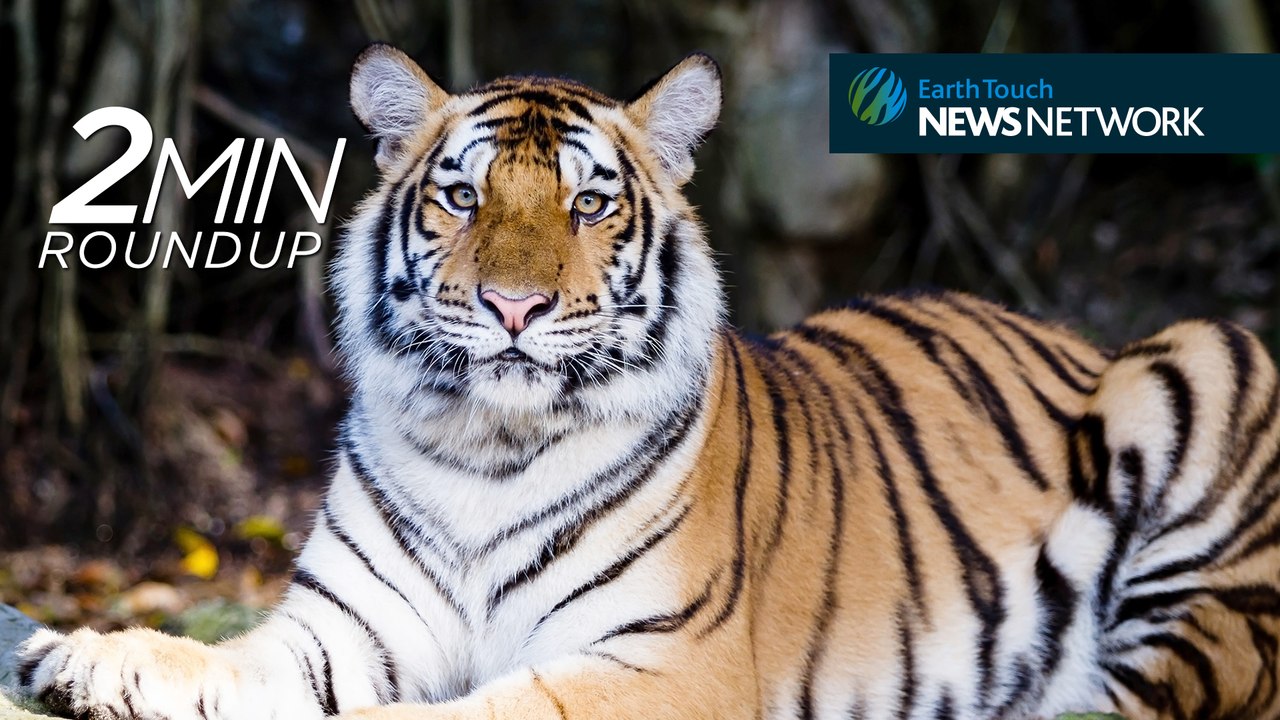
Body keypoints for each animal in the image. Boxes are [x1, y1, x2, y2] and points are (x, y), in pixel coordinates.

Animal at [16, 42, 1280, 720]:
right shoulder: (345, 623)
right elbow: (228, 657)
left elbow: (467, 711)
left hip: (1209, 363)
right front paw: (91, 655)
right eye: (461, 197)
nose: (512, 308)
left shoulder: (664, 661)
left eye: (589, 203)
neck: (485, 448)